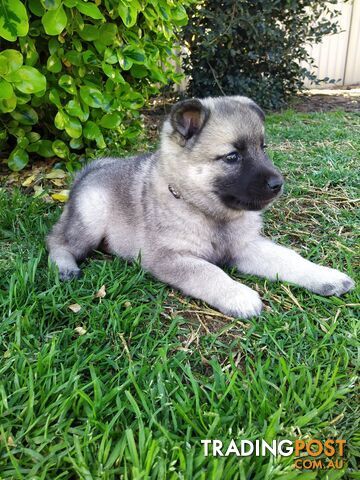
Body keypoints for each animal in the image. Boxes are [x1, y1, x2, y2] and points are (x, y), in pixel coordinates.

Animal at [47, 95, 354, 316]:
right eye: (232, 156)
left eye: (262, 147)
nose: (278, 184)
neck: (205, 210)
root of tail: (88, 173)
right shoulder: (170, 257)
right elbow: (209, 272)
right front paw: (239, 295)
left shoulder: (245, 246)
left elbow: (288, 258)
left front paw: (324, 276)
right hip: (91, 219)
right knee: (56, 240)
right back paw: (65, 267)